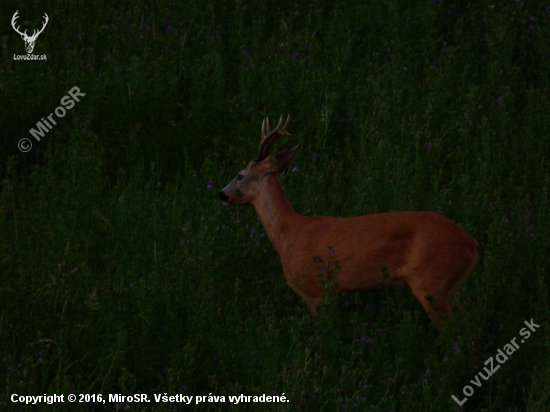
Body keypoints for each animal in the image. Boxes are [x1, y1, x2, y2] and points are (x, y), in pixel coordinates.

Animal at [220, 116, 478, 332]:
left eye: (240, 175)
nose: (221, 194)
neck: (289, 234)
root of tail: (471, 245)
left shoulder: (316, 291)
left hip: (431, 282)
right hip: (450, 287)